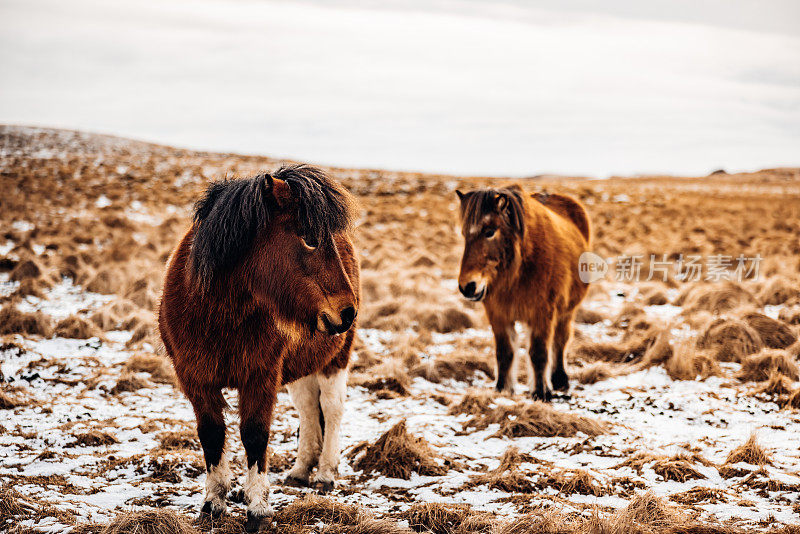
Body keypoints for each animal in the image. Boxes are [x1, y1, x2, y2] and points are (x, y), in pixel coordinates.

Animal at [159, 165, 360, 532]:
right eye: (309, 237)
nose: (347, 311)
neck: (218, 312)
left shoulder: (260, 377)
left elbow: (254, 435)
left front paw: (258, 508)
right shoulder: (195, 379)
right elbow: (211, 434)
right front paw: (213, 503)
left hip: (334, 361)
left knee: (332, 409)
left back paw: (325, 474)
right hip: (301, 368)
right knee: (308, 410)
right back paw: (299, 471)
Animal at [456, 188, 588, 402]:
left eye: (489, 232)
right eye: (464, 234)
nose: (467, 286)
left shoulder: (542, 313)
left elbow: (539, 353)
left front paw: (541, 392)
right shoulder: (498, 314)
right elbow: (504, 352)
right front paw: (502, 389)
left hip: (567, 311)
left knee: (560, 340)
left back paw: (560, 380)